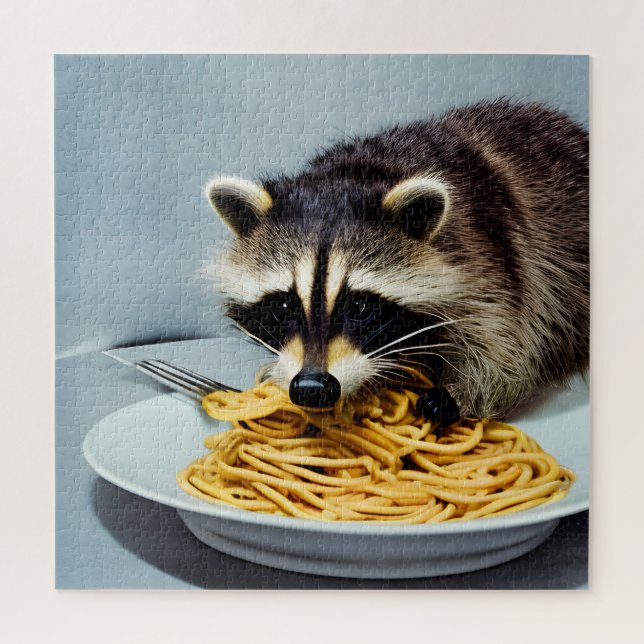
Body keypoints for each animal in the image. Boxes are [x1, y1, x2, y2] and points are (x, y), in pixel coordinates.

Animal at [205, 99, 589, 419]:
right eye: (284, 305)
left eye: (360, 306)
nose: (312, 388)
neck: (350, 173)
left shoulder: (489, 253)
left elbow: (507, 346)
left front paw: (459, 394)